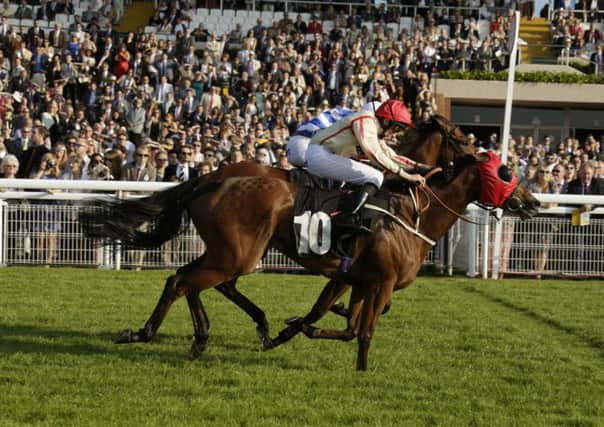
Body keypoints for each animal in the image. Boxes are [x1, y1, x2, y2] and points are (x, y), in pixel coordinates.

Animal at [80, 148, 536, 372]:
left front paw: (297, 327)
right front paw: (362, 371)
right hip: (236, 255)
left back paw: (208, 336)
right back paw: (145, 334)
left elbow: (343, 323)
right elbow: (362, 331)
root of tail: (209, 180)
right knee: (183, 281)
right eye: (506, 171)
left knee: (191, 280)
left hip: (229, 253)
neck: (410, 215)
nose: (531, 201)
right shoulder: (380, 281)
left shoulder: (357, 278)